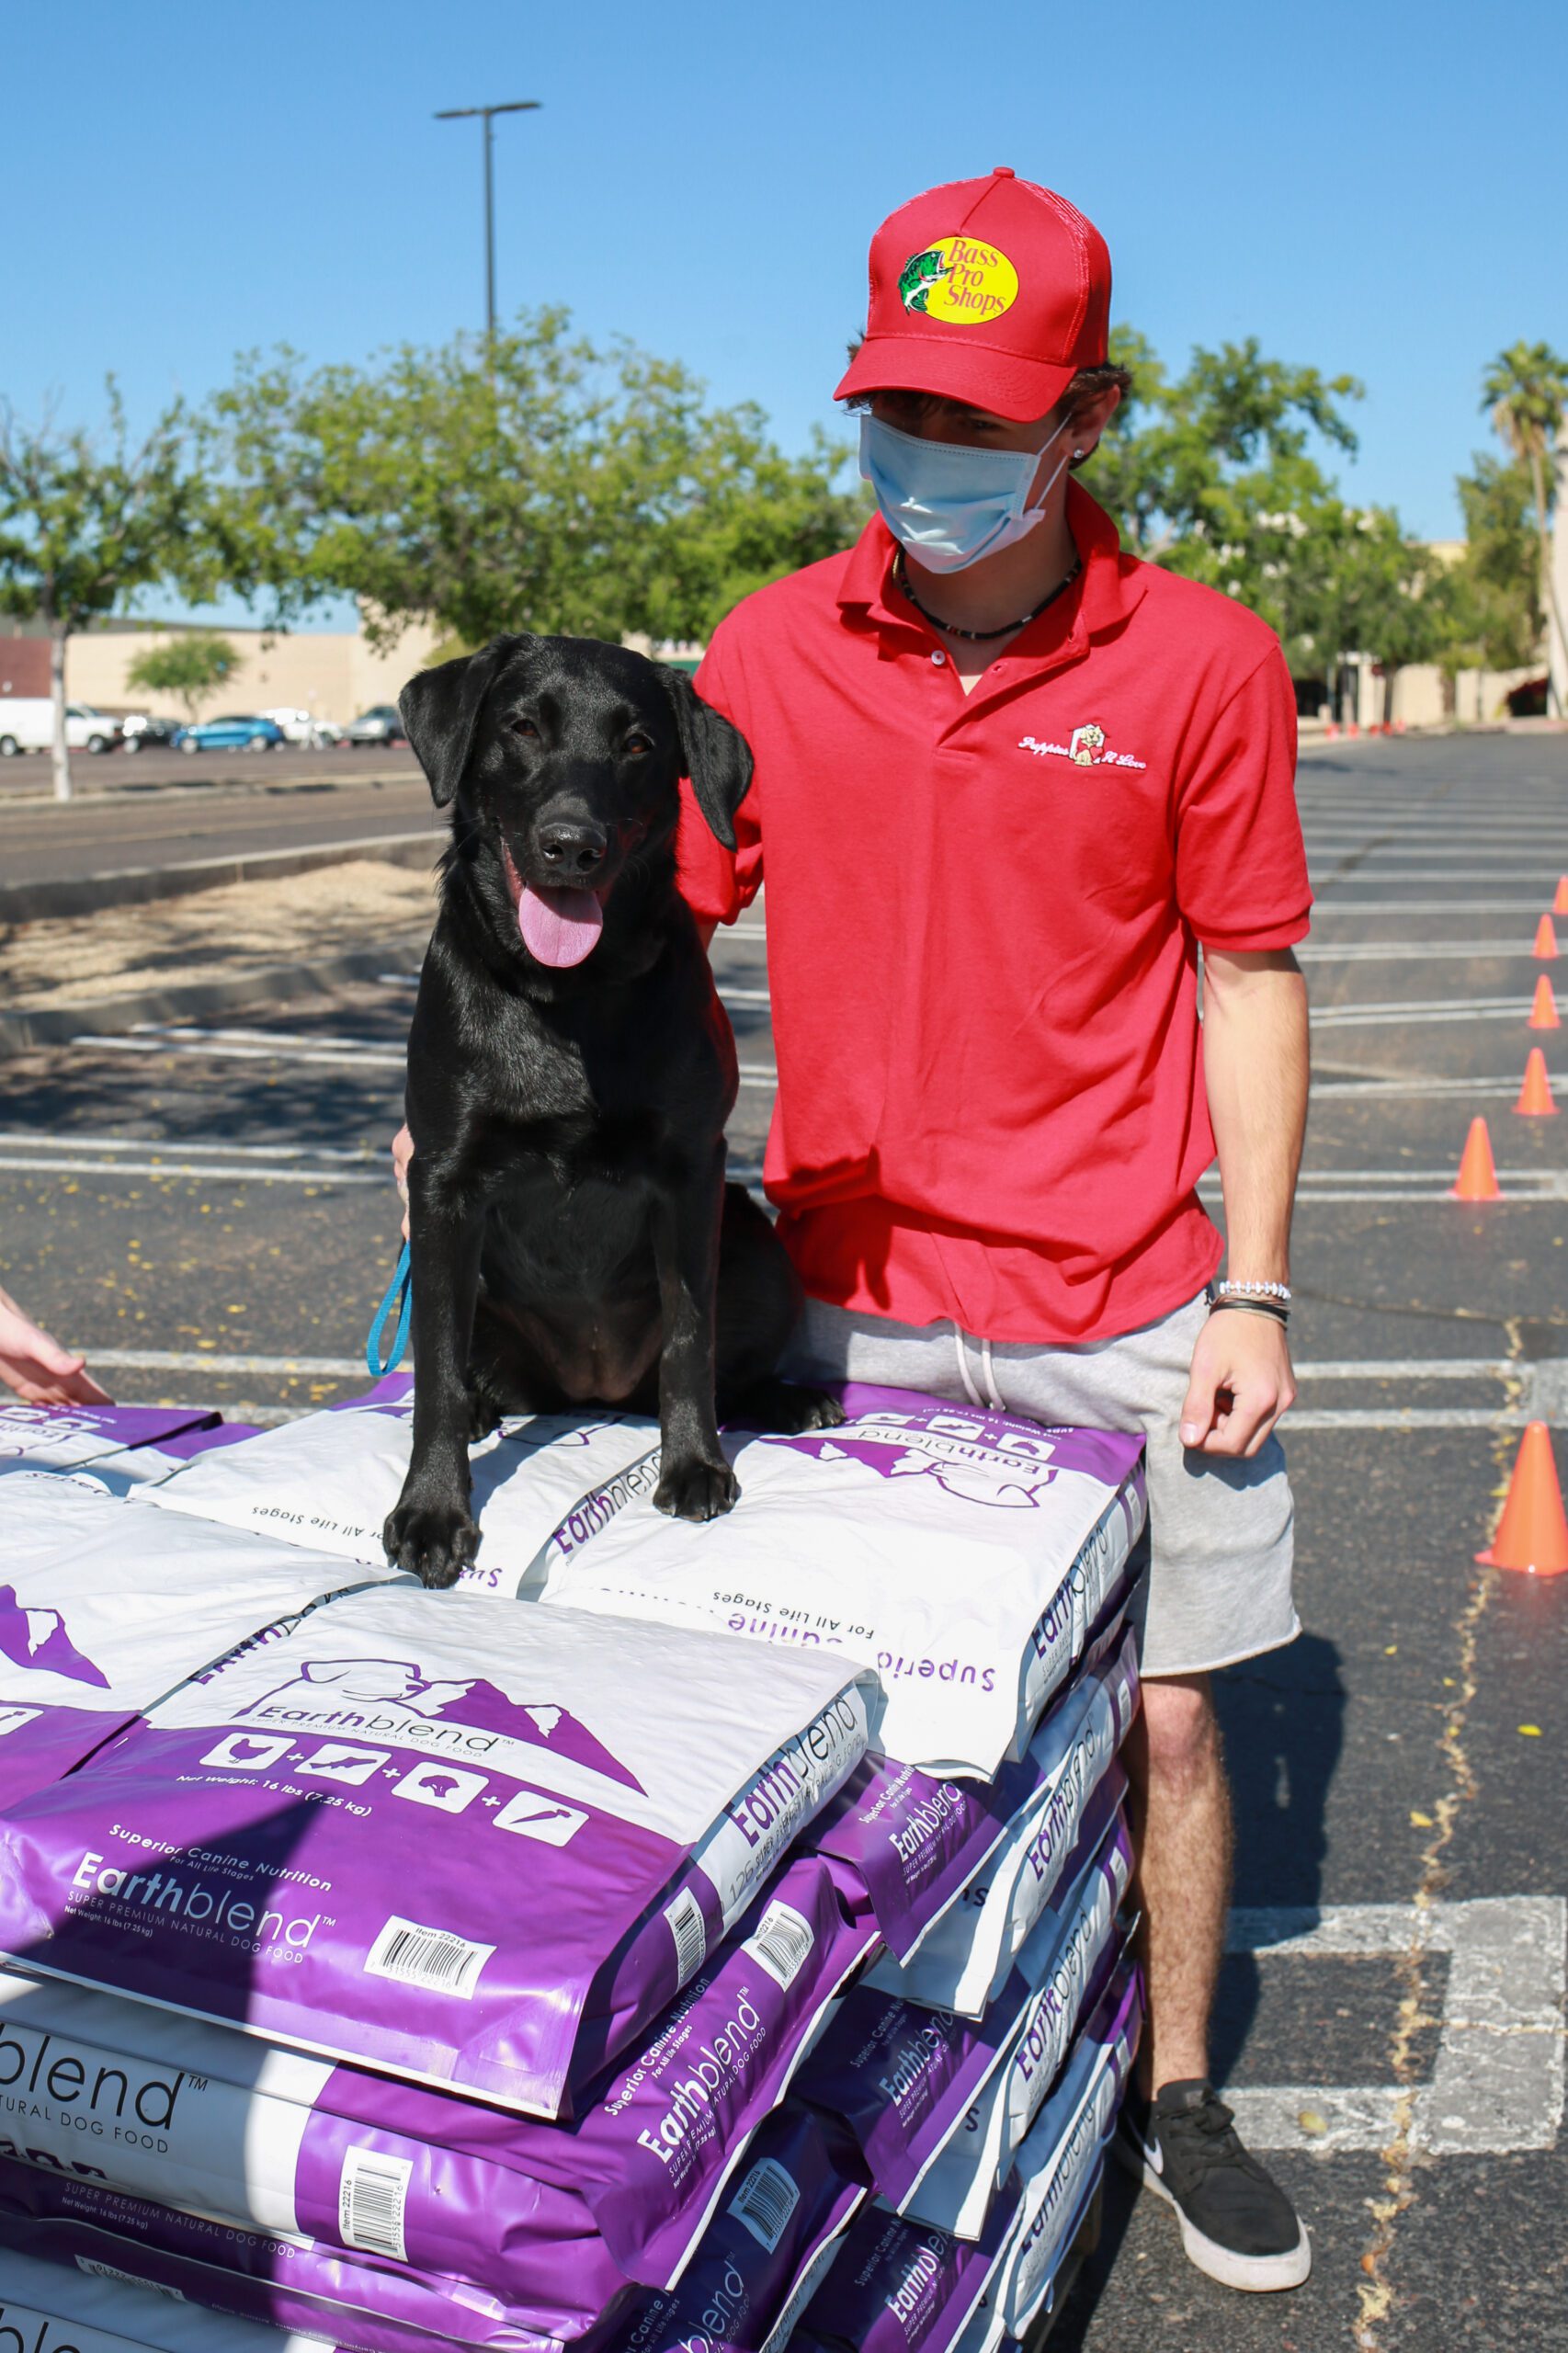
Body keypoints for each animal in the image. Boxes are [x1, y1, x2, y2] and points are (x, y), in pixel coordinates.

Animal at [383, 625, 837, 1590]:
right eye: (521, 727)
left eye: (637, 746)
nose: (571, 845)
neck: (570, 994)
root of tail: (592, 1388)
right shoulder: (440, 1185)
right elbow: (434, 1364)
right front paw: (434, 1510)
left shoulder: (694, 1172)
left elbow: (690, 1338)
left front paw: (694, 1464)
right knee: (465, 1365)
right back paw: (480, 1409)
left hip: (756, 1242)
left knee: (721, 1359)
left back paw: (788, 1399)